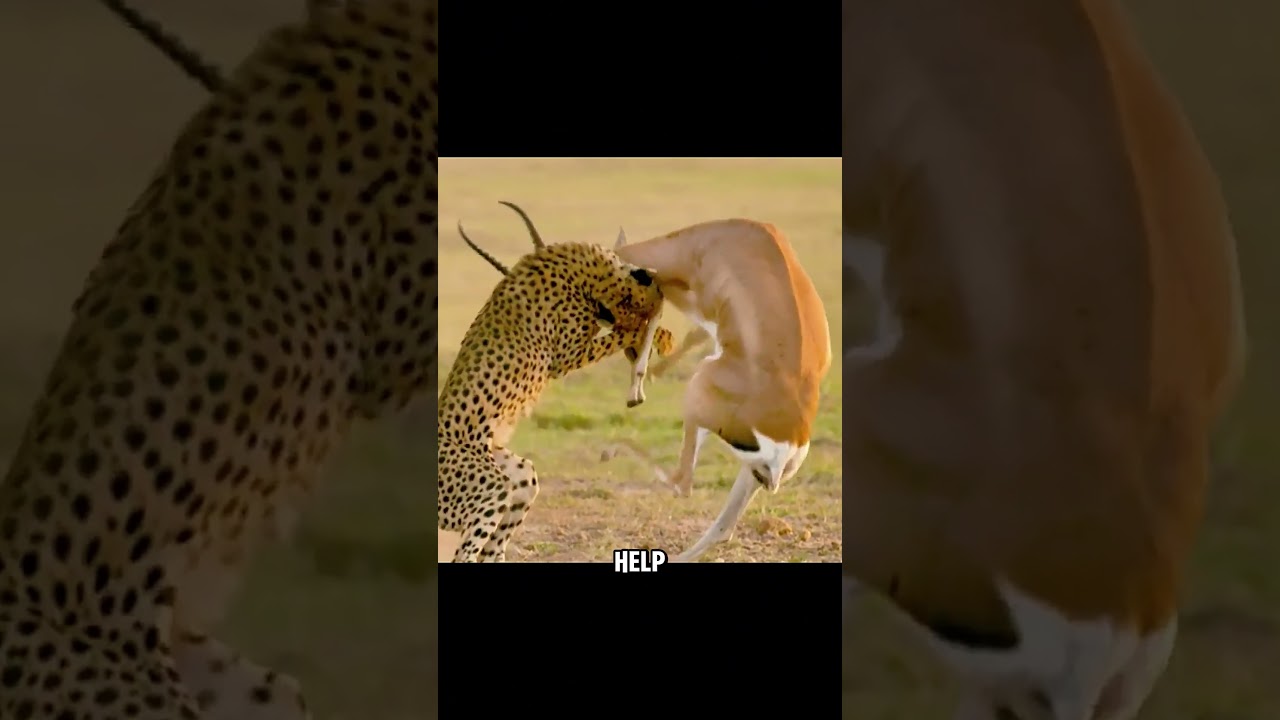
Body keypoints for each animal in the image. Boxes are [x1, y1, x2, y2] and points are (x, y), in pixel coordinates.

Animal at [439, 204, 676, 562]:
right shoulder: (567, 355)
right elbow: (623, 333)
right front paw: (652, 340)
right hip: (489, 489)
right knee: (465, 555)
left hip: (518, 477)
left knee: (494, 545)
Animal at [463, 214, 833, 562]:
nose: (602, 321)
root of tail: (794, 434)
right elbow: (686, 331)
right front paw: (648, 374)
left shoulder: (671, 286)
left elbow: (656, 316)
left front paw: (637, 387)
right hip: (751, 472)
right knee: (722, 526)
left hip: (698, 393)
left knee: (682, 484)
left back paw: (609, 451)